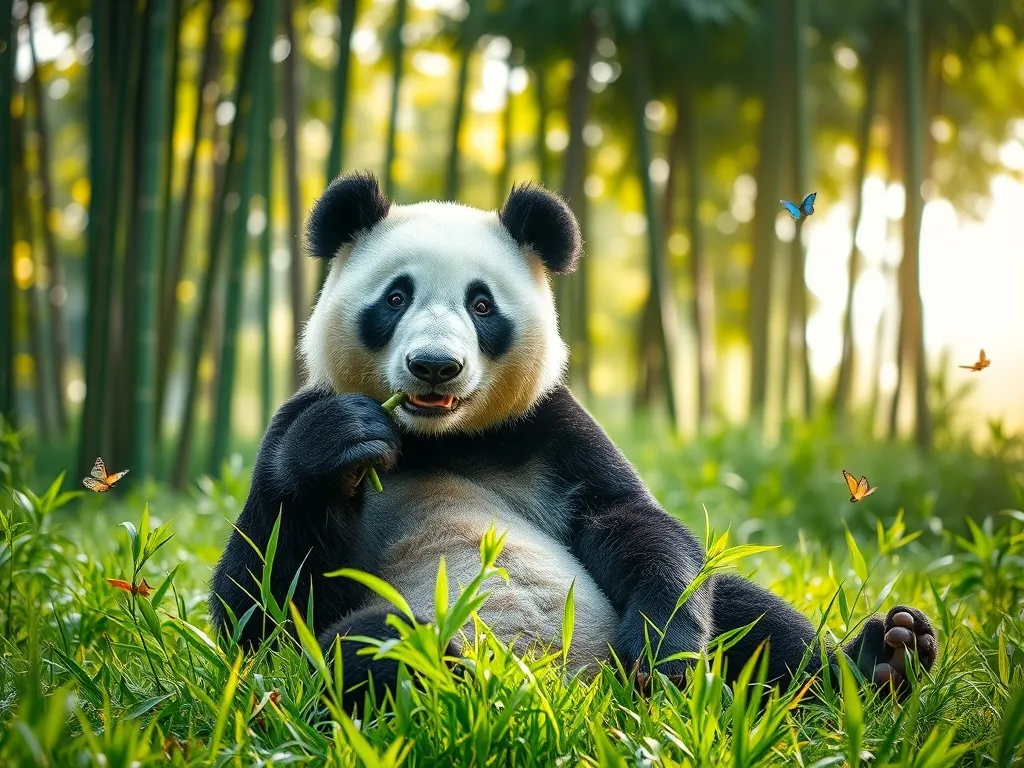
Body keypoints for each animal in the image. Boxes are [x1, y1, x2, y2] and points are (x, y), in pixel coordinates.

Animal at [209, 172, 938, 711]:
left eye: (481, 305)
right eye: (395, 297)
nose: (435, 366)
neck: (438, 439)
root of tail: (584, 702)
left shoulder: (547, 428)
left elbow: (630, 520)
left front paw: (660, 650)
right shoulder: (293, 421)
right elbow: (256, 610)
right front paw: (344, 441)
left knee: (746, 613)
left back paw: (883, 660)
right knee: (365, 646)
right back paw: (461, 674)